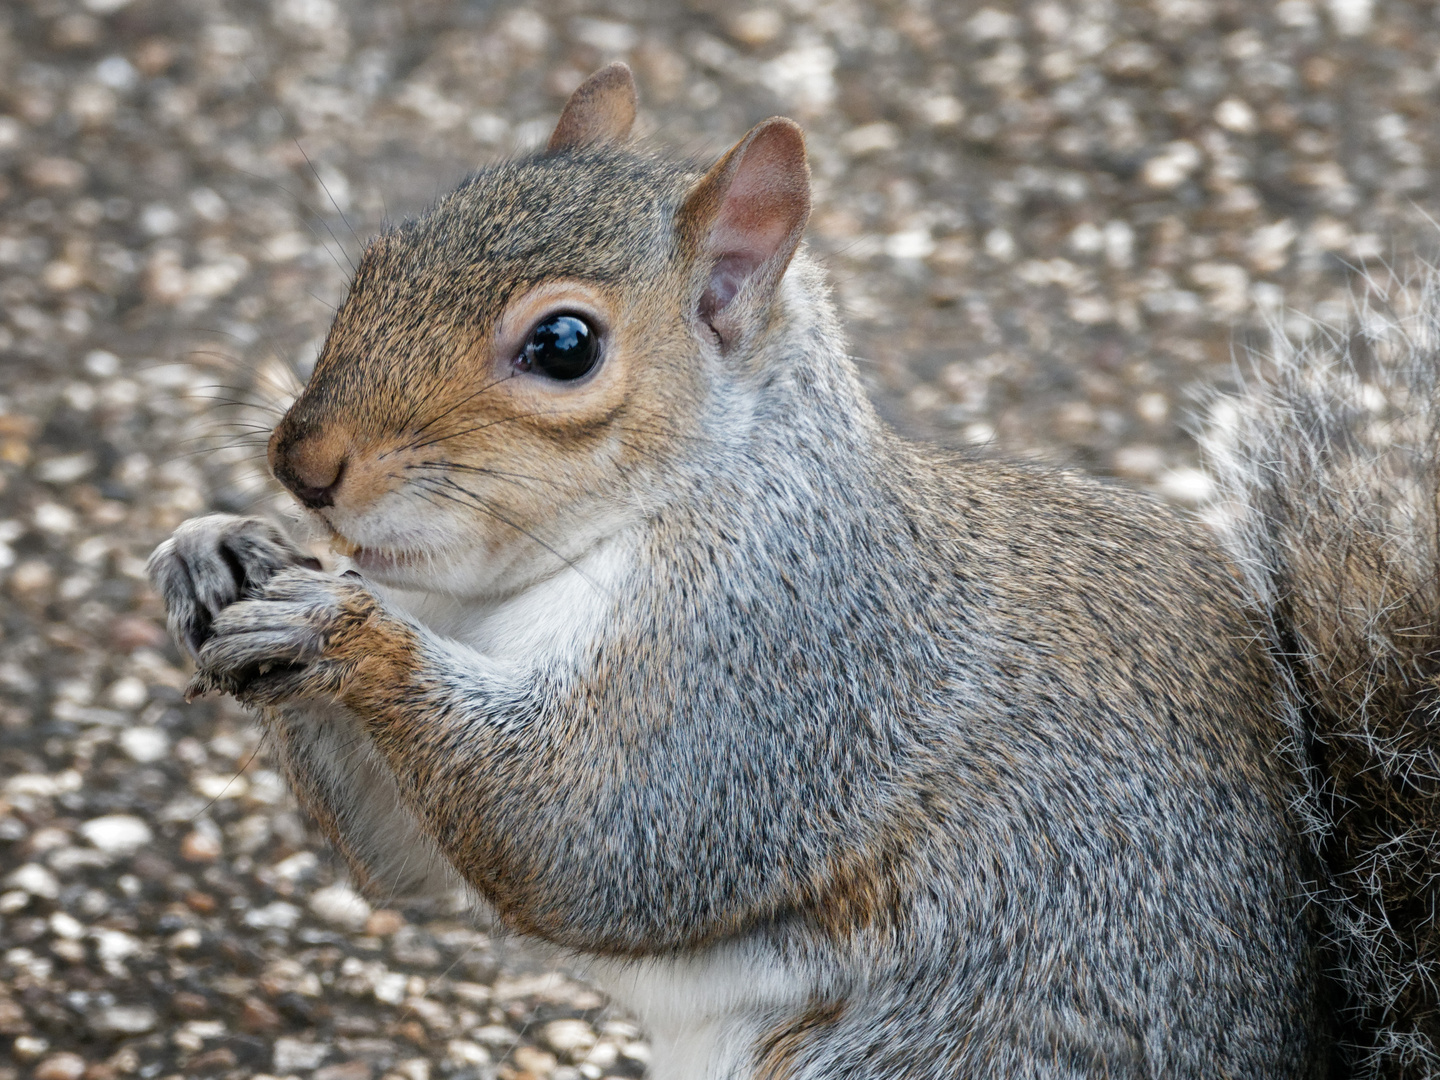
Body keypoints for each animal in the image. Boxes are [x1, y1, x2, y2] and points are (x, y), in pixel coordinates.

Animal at [143, 63, 1440, 1077]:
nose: (303, 463)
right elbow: (407, 856)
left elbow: (593, 837)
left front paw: (334, 626)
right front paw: (219, 549)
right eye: (381, 255)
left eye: (563, 345)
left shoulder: (775, 662)